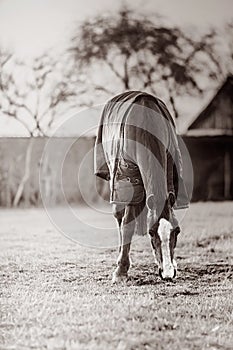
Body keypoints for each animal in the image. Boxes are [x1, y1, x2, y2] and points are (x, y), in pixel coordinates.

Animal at [94, 90, 189, 282]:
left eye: (177, 231)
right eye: (151, 232)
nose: (168, 273)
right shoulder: (130, 179)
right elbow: (127, 225)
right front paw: (121, 271)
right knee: (120, 218)